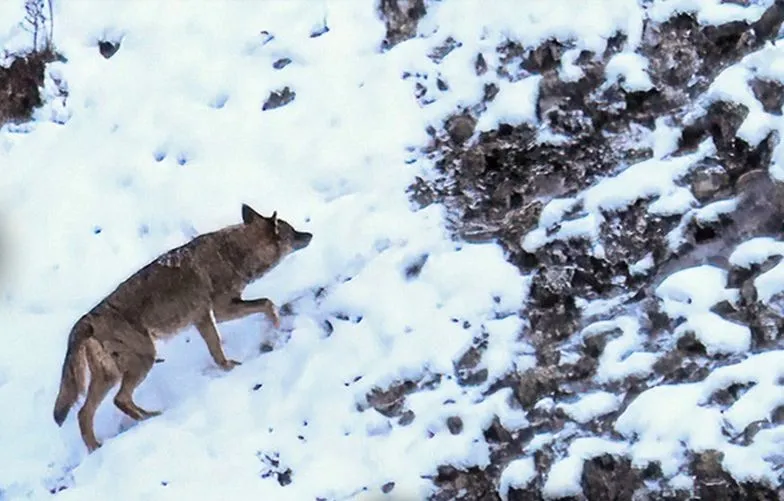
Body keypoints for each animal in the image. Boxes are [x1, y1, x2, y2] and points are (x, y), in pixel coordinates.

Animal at [52, 204, 312, 452]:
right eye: (293, 232)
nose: (310, 234)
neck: (233, 253)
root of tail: (85, 321)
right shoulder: (221, 310)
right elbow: (266, 304)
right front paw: (273, 329)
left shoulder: (204, 318)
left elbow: (217, 349)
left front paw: (229, 364)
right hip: (143, 360)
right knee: (117, 400)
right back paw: (146, 420)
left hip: (112, 375)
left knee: (85, 412)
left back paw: (102, 444)